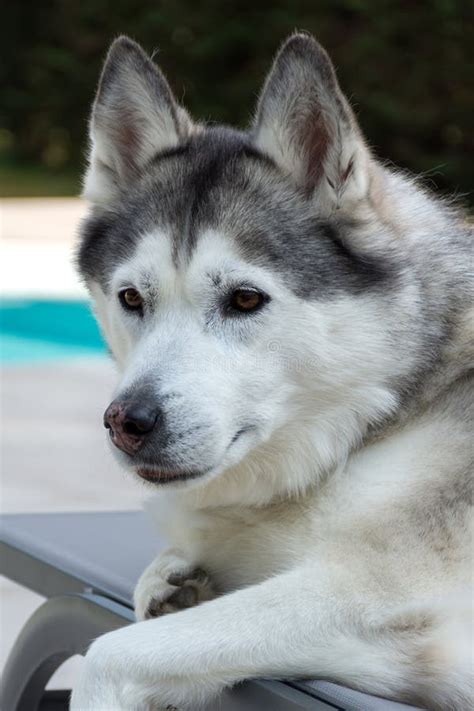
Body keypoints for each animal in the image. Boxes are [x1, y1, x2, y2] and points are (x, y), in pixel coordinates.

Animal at [71, 32, 474, 711]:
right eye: (131, 298)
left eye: (244, 299)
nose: (128, 422)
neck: (374, 417)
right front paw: (178, 580)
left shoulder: (354, 588)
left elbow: (108, 655)